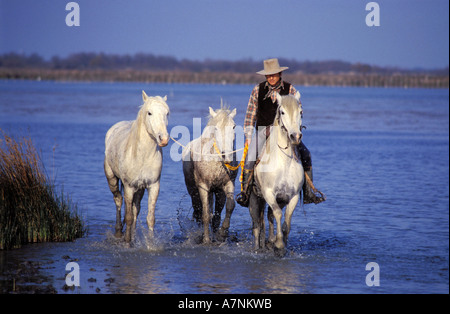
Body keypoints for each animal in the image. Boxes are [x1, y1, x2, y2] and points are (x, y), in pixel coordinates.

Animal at [103, 91, 171, 243]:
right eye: (149, 113)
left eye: (167, 113)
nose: (163, 139)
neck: (142, 156)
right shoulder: (129, 187)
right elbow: (128, 217)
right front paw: (128, 242)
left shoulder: (153, 186)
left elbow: (150, 218)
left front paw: (150, 243)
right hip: (112, 179)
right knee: (118, 200)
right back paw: (119, 232)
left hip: (139, 189)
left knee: (135, 209)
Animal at [183, 105, 239, 243]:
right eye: (216, 128)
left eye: (234, 126)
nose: (227, 155)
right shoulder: (203, 187)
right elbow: (205, 214)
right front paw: (207, 240)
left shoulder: (228, 184)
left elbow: (230, 206)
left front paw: (222, 234)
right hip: (194, 191)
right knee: (199, 212)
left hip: (218, 192)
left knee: (216, 216)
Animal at [250, 91, 302, 255]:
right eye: (282, 112)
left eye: (301, 112)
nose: (295, 136)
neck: (284, 162)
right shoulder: (268, 193)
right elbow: (278, 214)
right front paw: (279, 243)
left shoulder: (292, 196)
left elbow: (286, 222)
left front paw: (281, 243)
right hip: (255, 199)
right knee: (257, 226)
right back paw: (258, 246)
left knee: (269, 216)